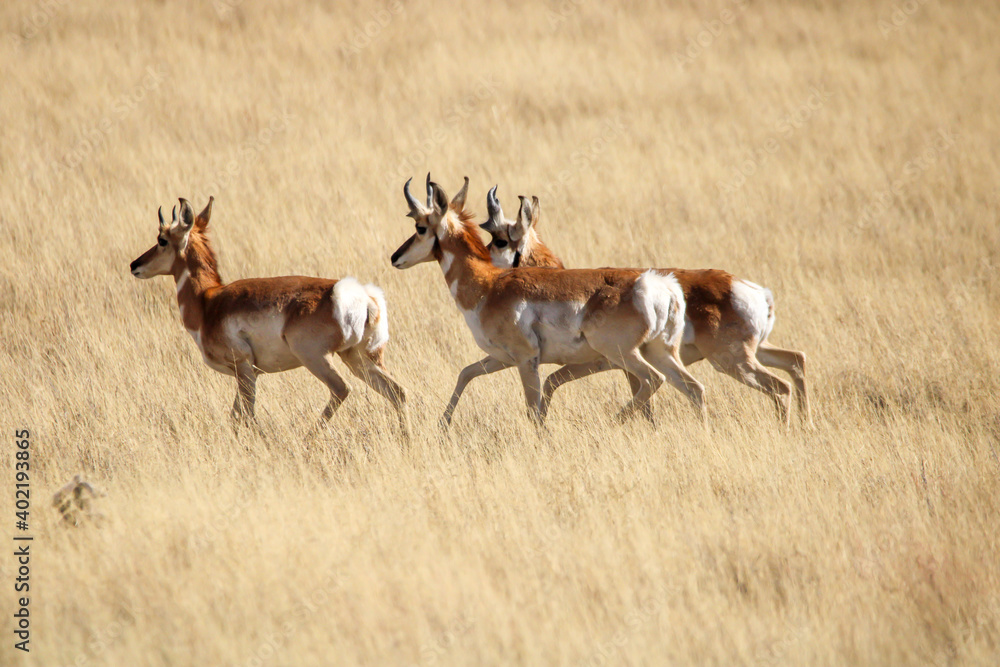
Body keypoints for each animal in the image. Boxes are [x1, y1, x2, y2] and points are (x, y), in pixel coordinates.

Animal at [129, 197, 410, 440]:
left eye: (162, 239)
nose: (135, 265)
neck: (208, 301)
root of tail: (357, 294)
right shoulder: (250, 373)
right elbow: (236, 417)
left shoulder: (244, 369)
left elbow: (246, 417)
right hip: (358, 359)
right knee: (398, 392)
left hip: (315, 358)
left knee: (342, 389)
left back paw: (307, 439)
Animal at [390, 176, 706, 428]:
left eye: (420, 227)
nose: (395, 257)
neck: (489, 285)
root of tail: (658, 286)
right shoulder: (501, 358)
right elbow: (465, 373)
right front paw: (442, 425)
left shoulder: (526, 360)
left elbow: (532, 410)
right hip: (659, 352)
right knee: (695, 388)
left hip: (623, 354)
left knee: (653, 381)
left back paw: (612, 423)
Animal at [480, 194, 811, 429]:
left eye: (499, 241)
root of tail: (753, 291)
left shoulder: (609, 363)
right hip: (757, 351)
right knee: (795, 360)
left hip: (731, 360)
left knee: (780, 385)